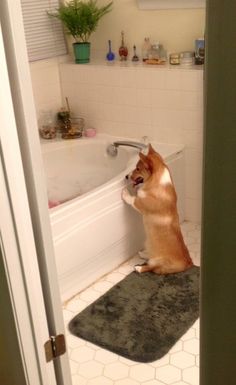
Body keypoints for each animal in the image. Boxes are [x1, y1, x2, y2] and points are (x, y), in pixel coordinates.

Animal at [121, 143, 194, 272]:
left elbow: (132, 199)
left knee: (151, 267)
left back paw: (139, 267)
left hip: (158, 262)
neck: (156, 183)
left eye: (138, 168)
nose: (126, 176)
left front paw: (125, 192)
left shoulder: (140, 204)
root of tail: (188, 262)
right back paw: (144, 253)